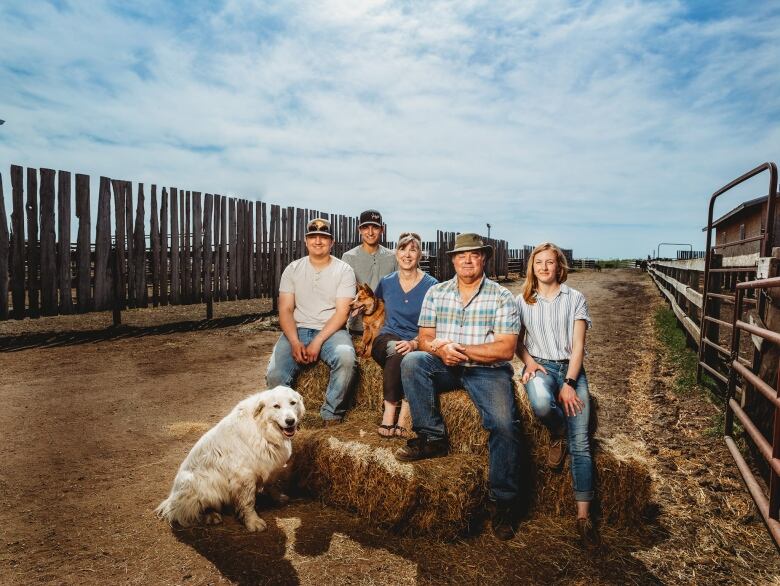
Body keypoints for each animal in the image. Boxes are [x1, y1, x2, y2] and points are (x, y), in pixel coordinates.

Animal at [155, 386, 304, 532]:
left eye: (293, 403)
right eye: (276, 406)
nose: (290, 421)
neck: (262, 428)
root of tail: (170, 501)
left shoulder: (269, 467)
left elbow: (271, 484)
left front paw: (278, 498)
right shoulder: (244, 476)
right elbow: (248, 503)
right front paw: (253, 522)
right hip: (197, 484)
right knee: (186, 513)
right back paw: (210, 515)